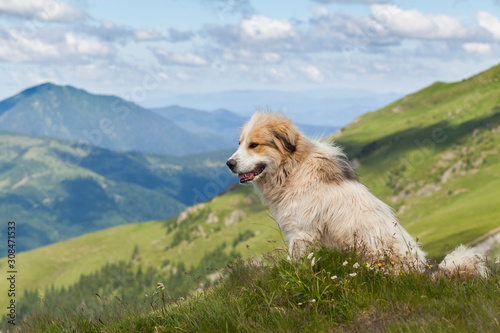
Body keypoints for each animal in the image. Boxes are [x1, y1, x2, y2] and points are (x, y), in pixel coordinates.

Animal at [227, 113, 488, 276]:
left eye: (254, 145)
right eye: (239, 143)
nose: (229, 164)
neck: (293, 168)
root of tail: (422, 273)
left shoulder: (302, 233)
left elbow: (296, 264)